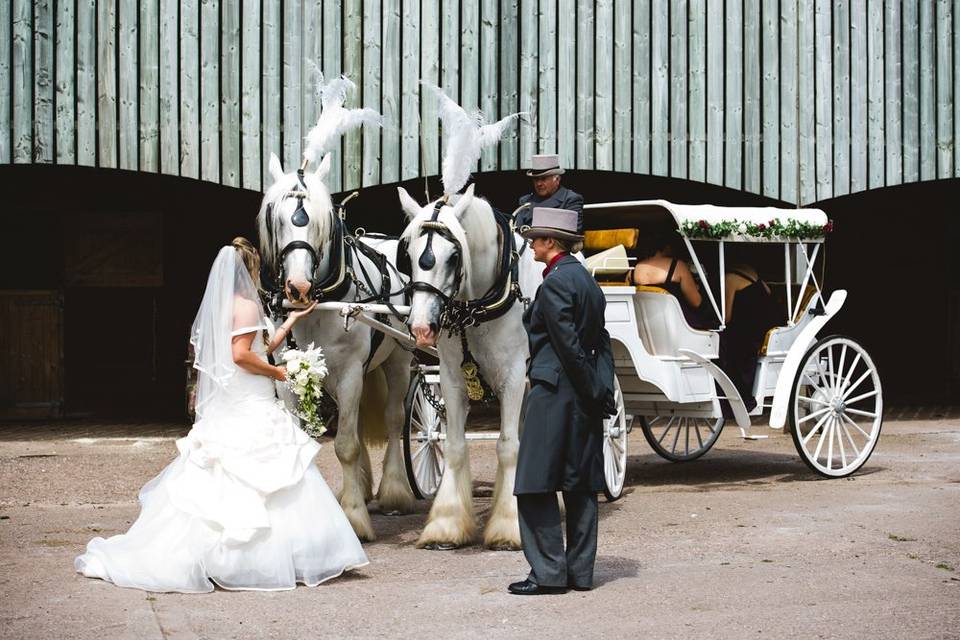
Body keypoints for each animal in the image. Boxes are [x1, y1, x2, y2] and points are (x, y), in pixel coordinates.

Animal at [260, 154, 414, 540]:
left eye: (320, 221)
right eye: (276, 219)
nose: (298, 287)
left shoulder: (349, 373)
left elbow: (345, 445)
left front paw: (355, 518)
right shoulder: (287, 377)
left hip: (398, 359)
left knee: (393, 418)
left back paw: (394, 492)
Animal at [394, 182, 536, 548]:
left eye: (454, 256)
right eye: (408, 256)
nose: (421, 327)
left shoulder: (514, 376)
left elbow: (508, 446)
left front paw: (509, 525)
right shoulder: (452, 378)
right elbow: (456, 447)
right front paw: (446, 524)